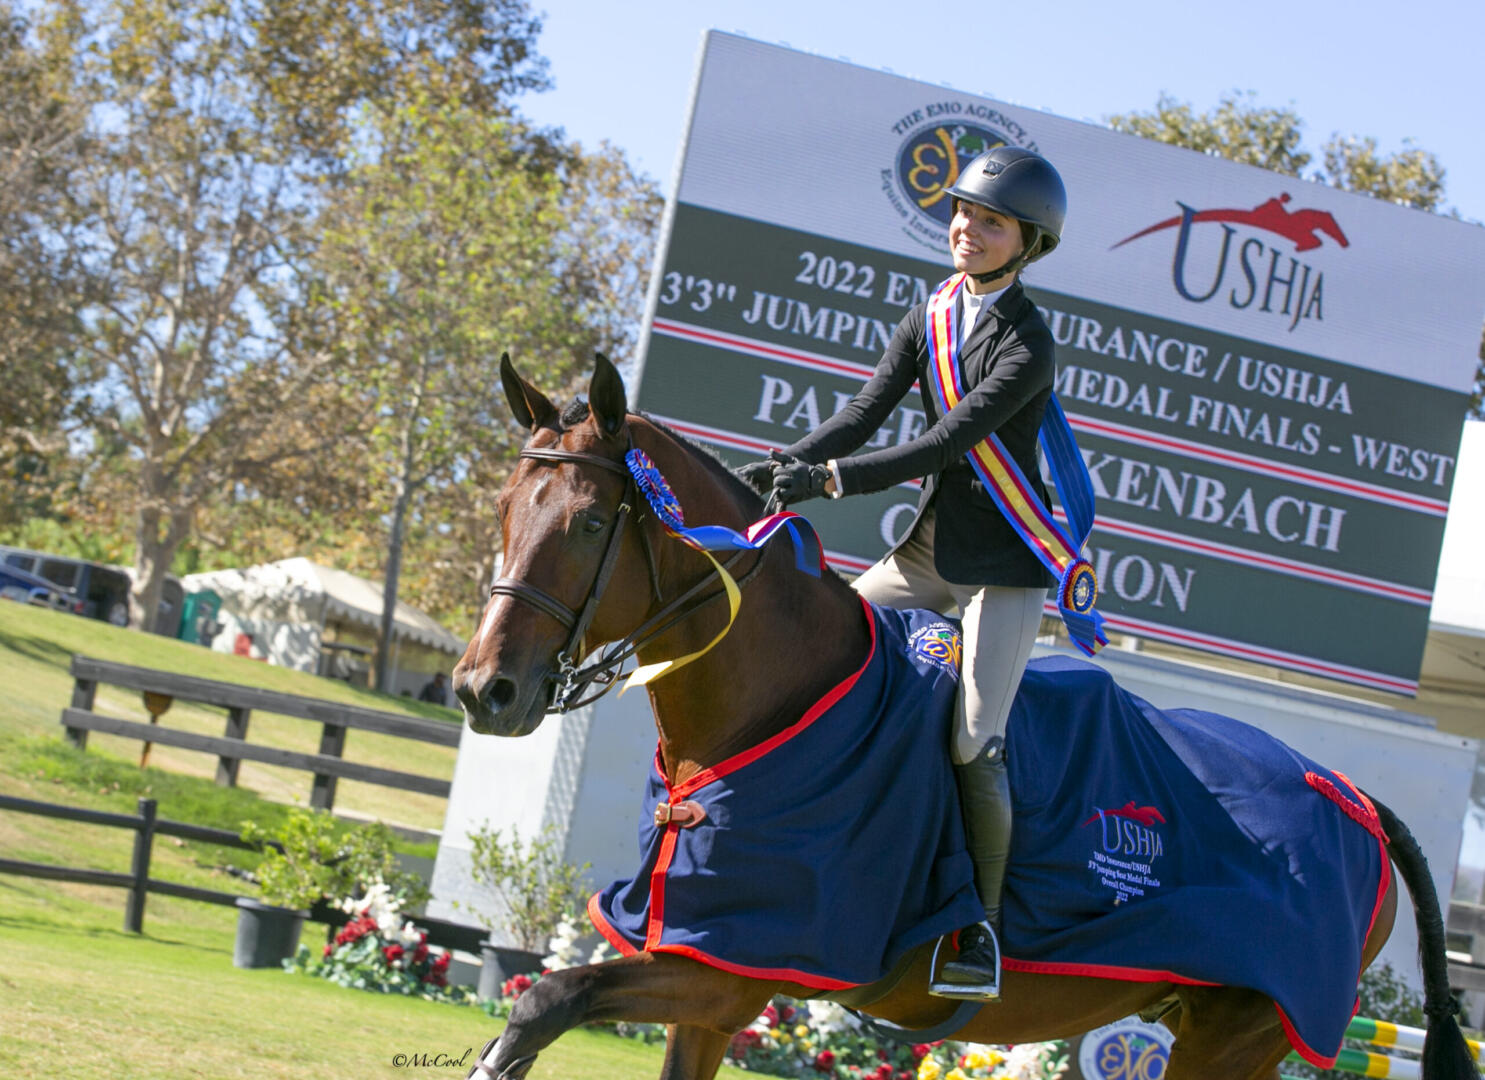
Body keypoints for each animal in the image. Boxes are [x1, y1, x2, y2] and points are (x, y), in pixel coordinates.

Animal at [451, 355, 1473, 1080]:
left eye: (590, 523)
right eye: (501, 508)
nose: (482, 691)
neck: (766, 705)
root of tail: (1351, 798)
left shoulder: (737, 964)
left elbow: (542, 1001)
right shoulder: (709, 985)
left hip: (1238, 1034)